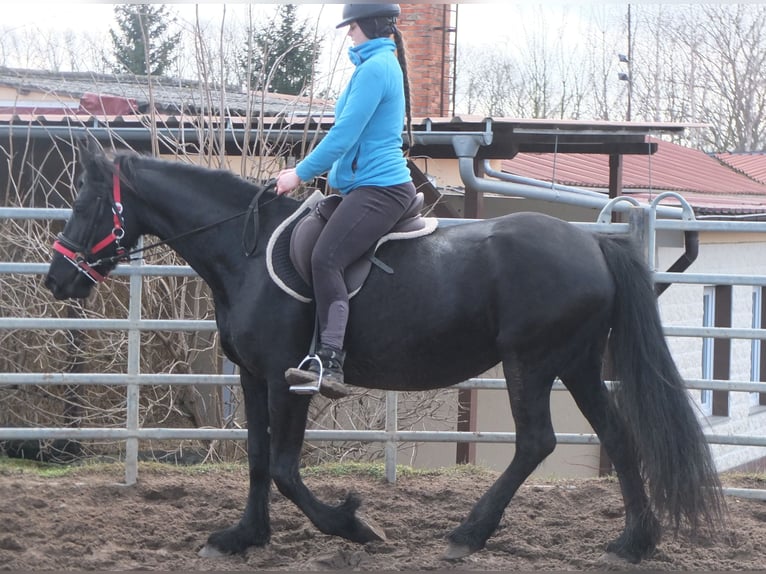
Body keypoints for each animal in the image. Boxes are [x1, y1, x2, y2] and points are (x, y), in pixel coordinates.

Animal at [45, 142, 724, 564]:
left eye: (84, 203)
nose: (57, 281)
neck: (246, 251)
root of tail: (593, 246)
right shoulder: (253, 378)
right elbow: (260, 460)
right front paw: (243, 537)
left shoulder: (290, 378)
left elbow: (286, 468)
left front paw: (352, 523)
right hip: (576, 365)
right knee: (618, 437)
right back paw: (633, 543)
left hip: (530, 363)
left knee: (536, 442)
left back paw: (467, 534)